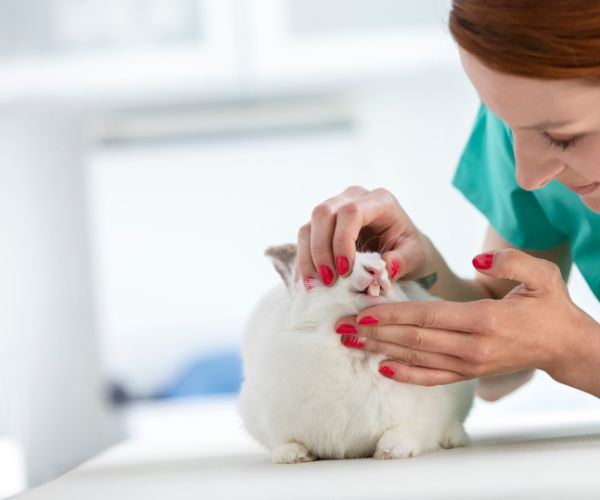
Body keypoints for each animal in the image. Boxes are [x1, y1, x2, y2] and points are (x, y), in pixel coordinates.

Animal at [239, 244, 474, 462]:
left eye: (385, 263)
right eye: (341, 265)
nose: (376, 270)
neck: (353, 352)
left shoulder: (427, 412)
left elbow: (406, 431)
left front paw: (391, 451)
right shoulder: (266, 417)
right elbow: (283, 439)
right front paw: (292, 455)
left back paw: (453, 438)